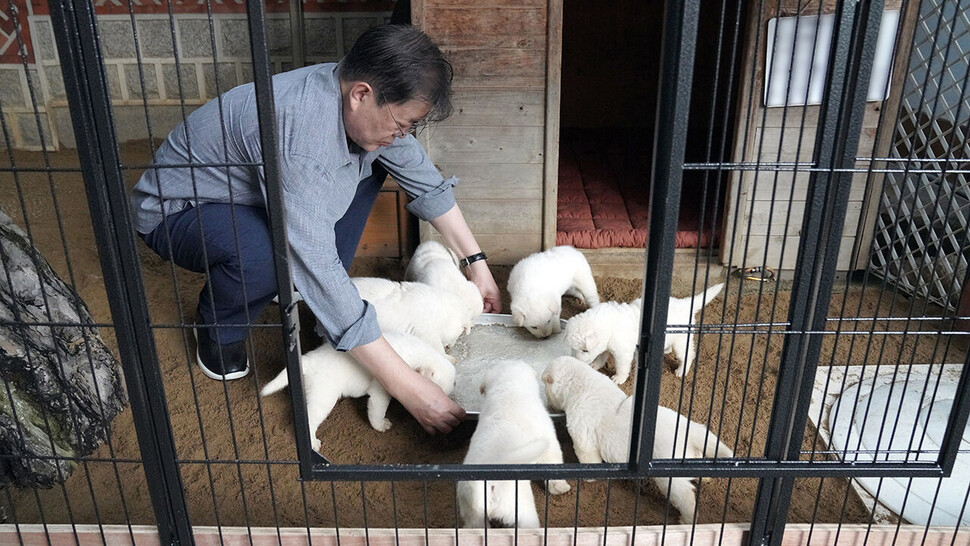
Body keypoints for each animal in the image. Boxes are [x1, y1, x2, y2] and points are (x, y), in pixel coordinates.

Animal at [260, 330, 458, 448]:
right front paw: (381, 425)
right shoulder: (380, 392)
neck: (416, 355)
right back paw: (313, 442)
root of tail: (309, 360)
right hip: (323, 397)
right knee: (310, 420)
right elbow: (377, 411)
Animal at [458, 360, 572, 524]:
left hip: (473, 516)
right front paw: (561, 487)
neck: (509, 385)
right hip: (521, 510)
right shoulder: (549, 441)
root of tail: (487, 484)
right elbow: (554, 464)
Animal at [540, 354, 728, 520]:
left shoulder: (583, 435)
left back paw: (687, 519)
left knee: (685, 496)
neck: (580, 382)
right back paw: (706, 477)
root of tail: (688, 430)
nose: (549, 406)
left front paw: (589, 478)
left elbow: (588, 457)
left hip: (669, 476)